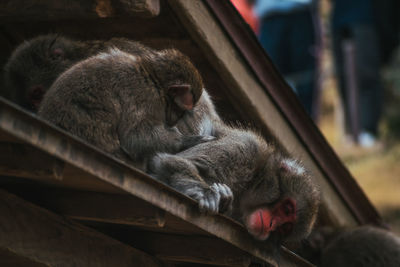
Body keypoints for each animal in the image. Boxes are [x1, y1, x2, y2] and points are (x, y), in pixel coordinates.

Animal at [38, 48, 212, 169]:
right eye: (181, 111)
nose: (174, 121)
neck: (153, 78)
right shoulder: (144, 96)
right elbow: (134, 137)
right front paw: (187, 141)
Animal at [148, 126, 320, 244]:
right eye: (287, 209)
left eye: (284, 227)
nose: (271, 225)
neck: (250, 183)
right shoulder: (246, 149)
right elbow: (175, 161)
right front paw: (206, 193)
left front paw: (225, 201)